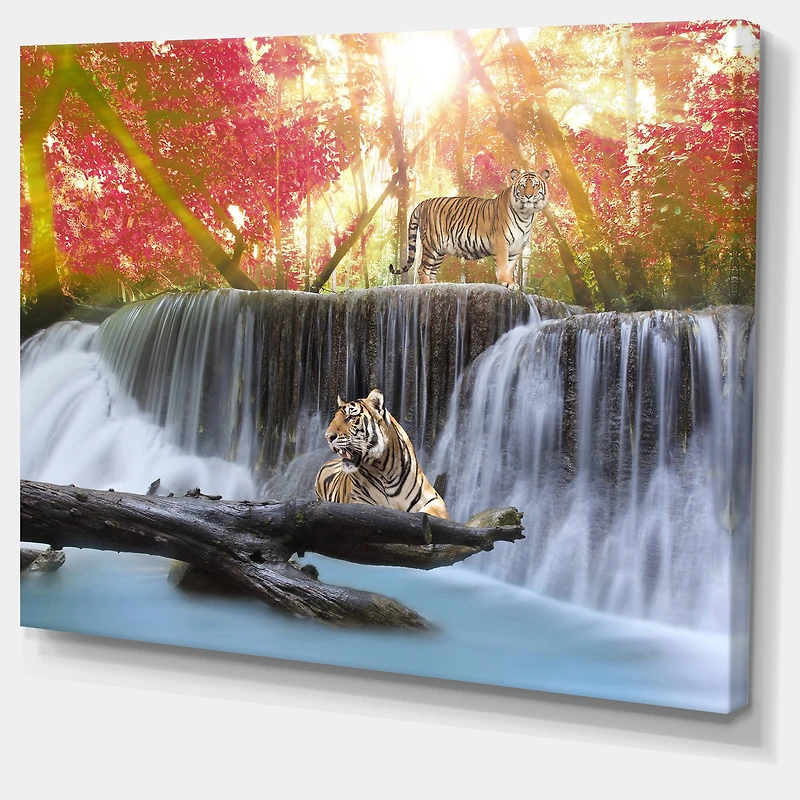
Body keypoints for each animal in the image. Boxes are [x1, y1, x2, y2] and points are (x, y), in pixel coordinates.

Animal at [314, 388, 449, 519]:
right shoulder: (358, 503)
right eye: (334, 418)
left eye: (351, 417)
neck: (384, 470)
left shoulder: (434, 500)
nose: (327, 436)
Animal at [389, 168, 550, 289]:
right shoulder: (501, 242)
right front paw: (506, 282)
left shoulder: (517, 248)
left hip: (439, 251)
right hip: (432, 244)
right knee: (422, 268)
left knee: (432, 271)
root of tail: (423, 203)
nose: (528, 196)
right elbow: (503, 265)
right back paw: (428, 286)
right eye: (522, 185)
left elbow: (510, 267)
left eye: (535, 185)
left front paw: (511, 282)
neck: (525, 215)